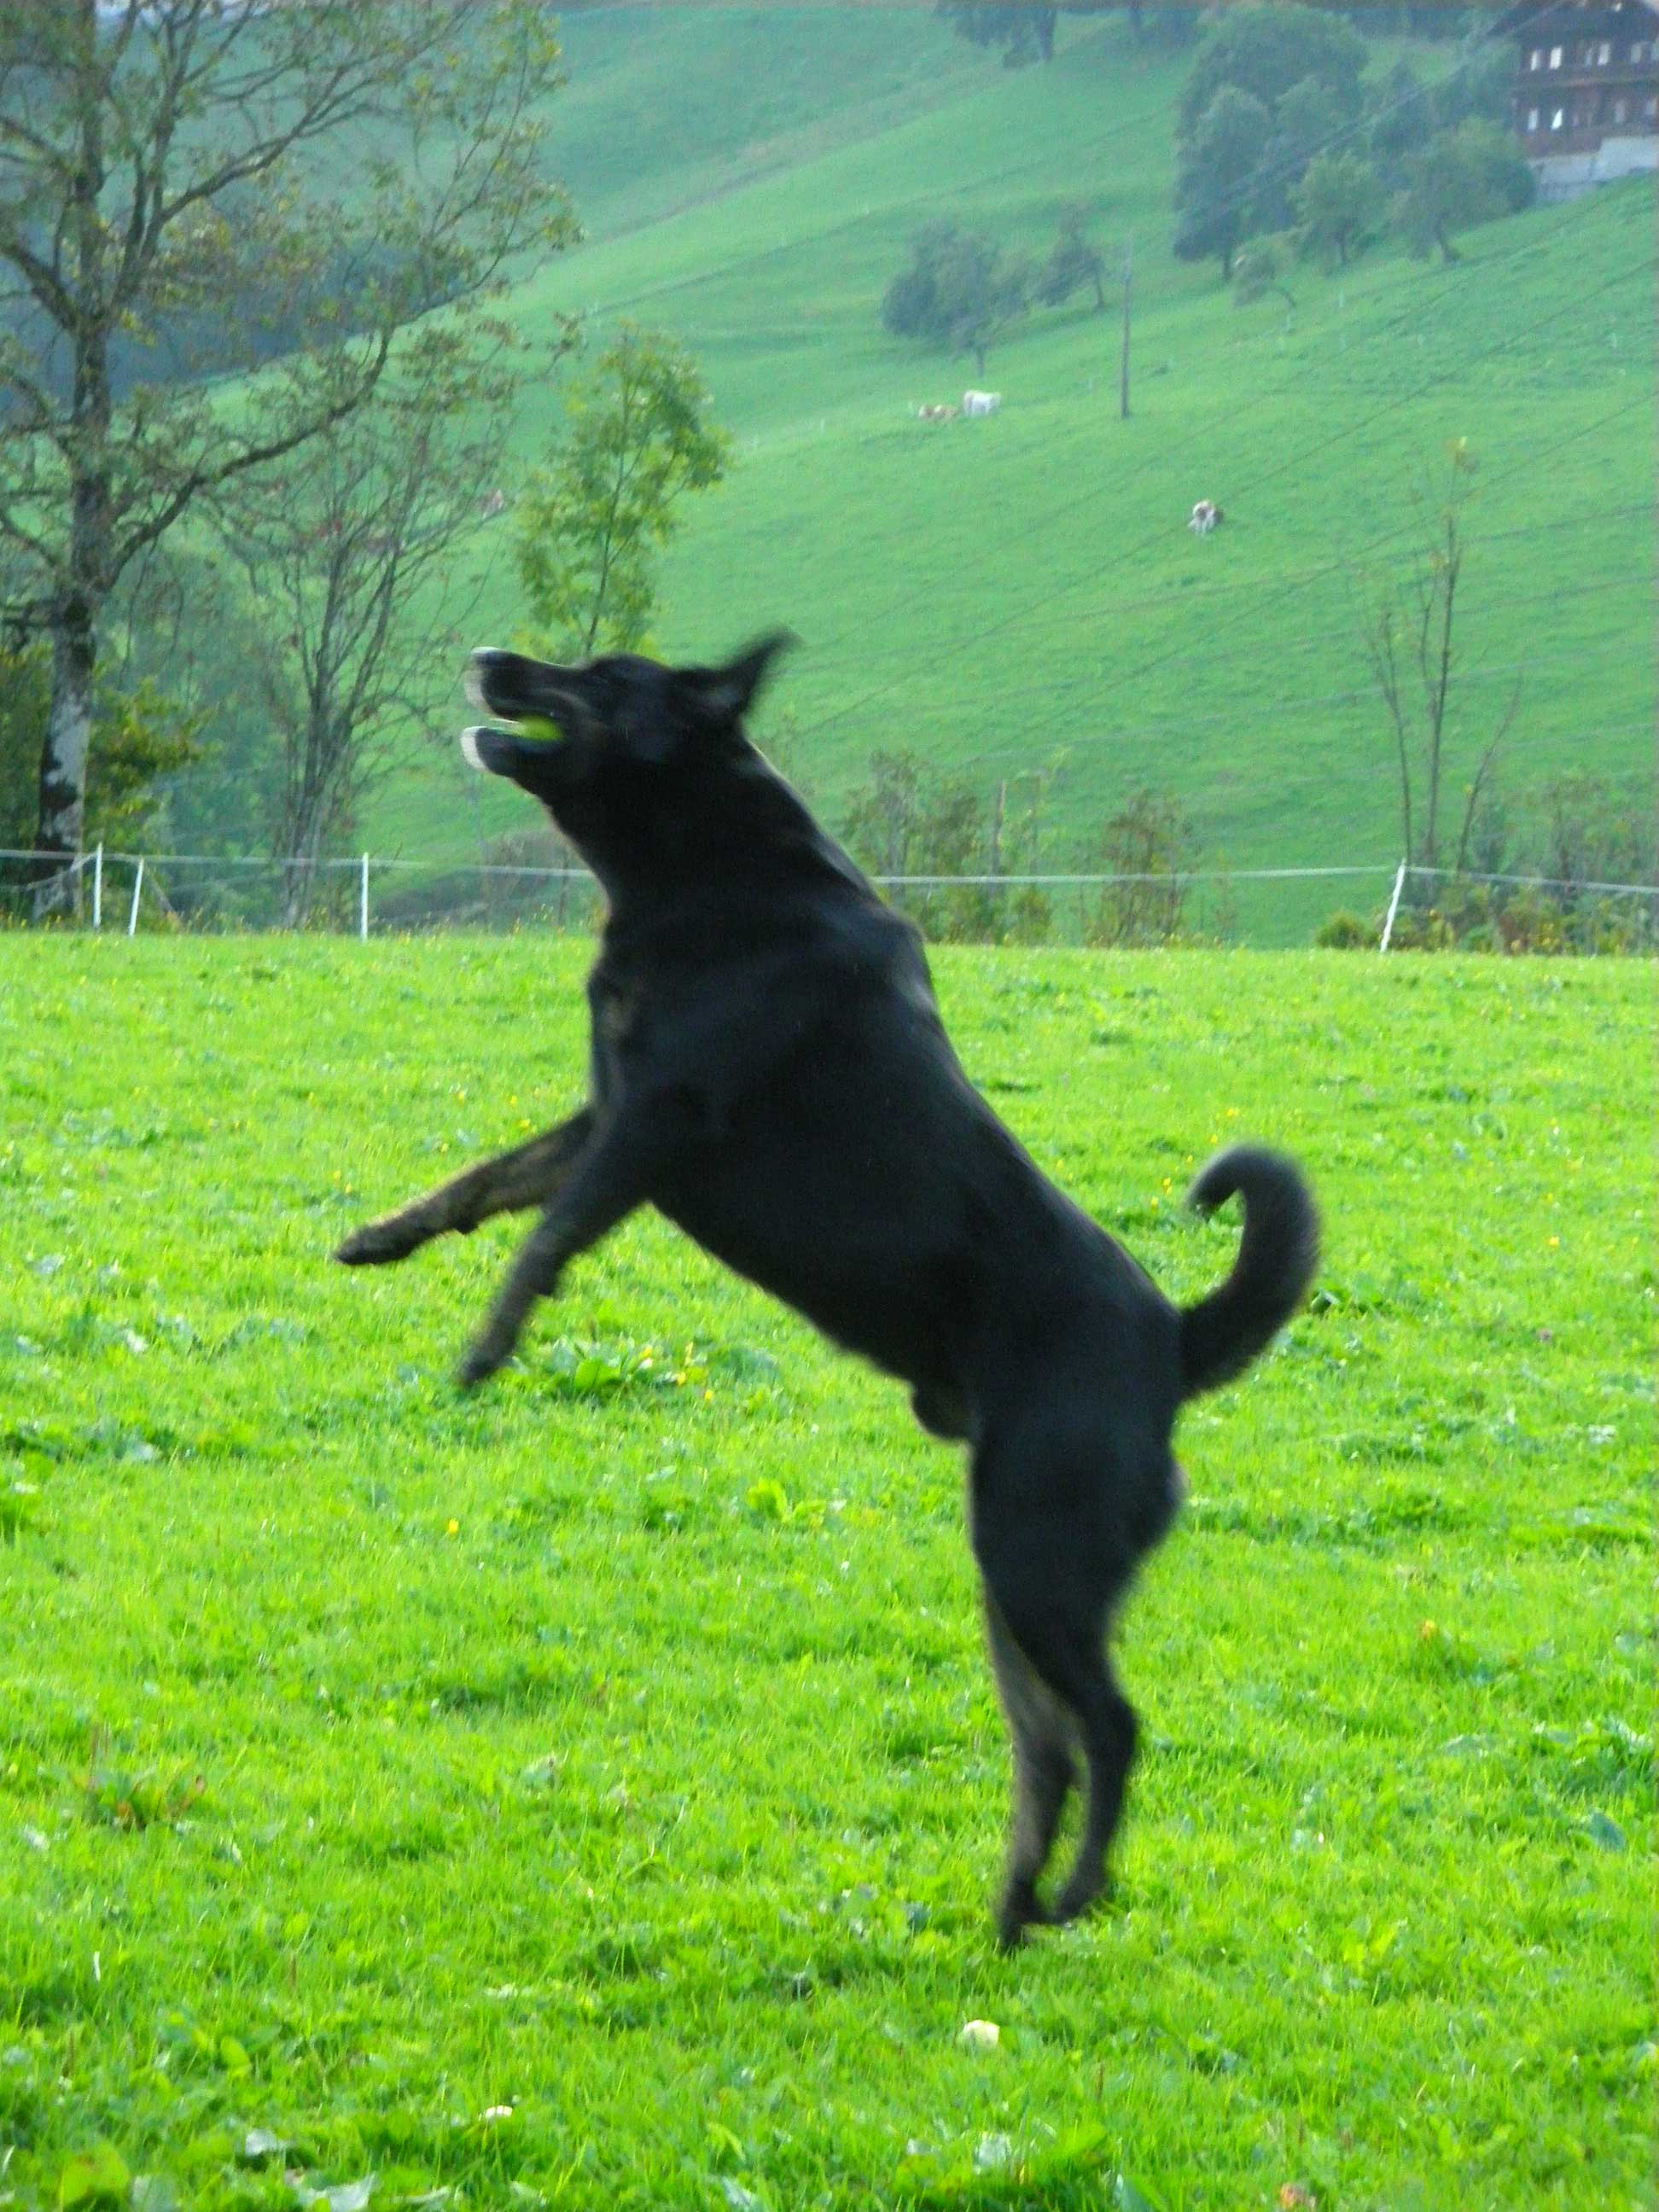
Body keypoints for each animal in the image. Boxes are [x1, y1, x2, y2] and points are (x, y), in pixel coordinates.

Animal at [341, 632, 1327, 1946]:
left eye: (598, 676)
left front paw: (488, 1348)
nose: (489, 655)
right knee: (1049, 1750)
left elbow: (545, 1238)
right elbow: (485, 1182)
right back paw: (1014, 1907)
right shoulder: (605, 1115)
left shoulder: (657, 1125)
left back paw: (1072, 1894)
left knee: (1112, 1730)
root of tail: (1173, 1337)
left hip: (1037, 1556)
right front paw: (381, 1238)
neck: (704, 868)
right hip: (1012, 1581)